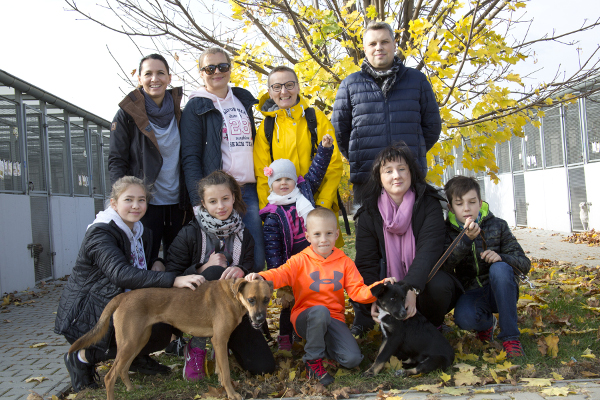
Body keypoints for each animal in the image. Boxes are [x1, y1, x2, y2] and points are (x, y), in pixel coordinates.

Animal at [70, 278, 274, 400]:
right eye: (251, 299)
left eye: (266, 299)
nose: (259, 319)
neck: (233, 295)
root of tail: (123, 296)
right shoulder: (220, 340)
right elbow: (227, 373)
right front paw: (232, 393)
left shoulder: (218, 342)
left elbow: (220, 370)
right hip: (129, 342)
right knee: (110, 376)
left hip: (138, 340)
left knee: (123, 369)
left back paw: (131, 389)